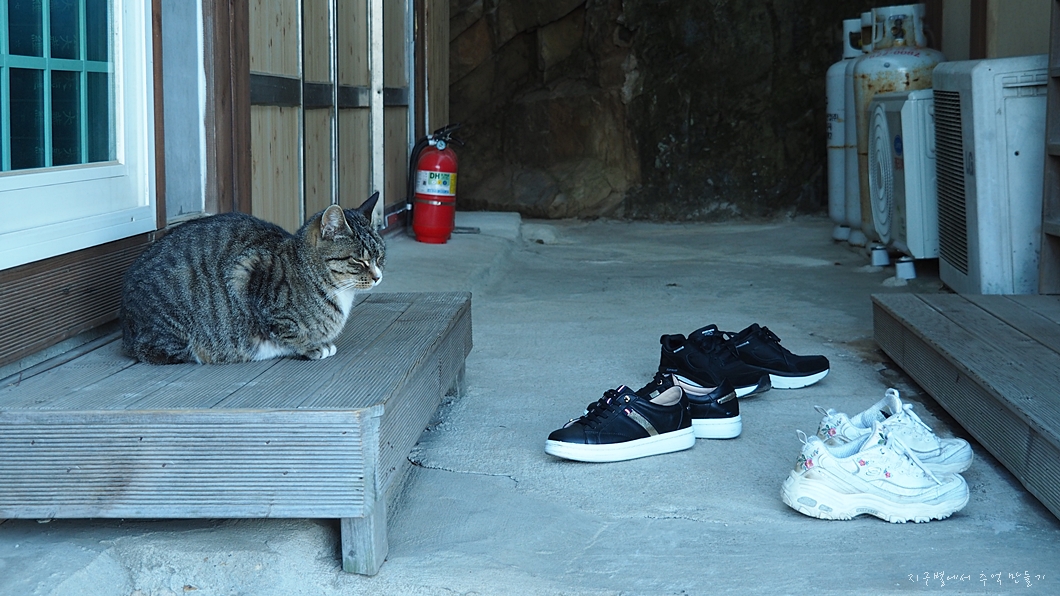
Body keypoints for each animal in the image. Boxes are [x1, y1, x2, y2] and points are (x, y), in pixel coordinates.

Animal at [120, 192, 385, 364]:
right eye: (360, 260)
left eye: (380, 256)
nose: (378, 277)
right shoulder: (247, 271)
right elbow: (284, 330)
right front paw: (309, 347)